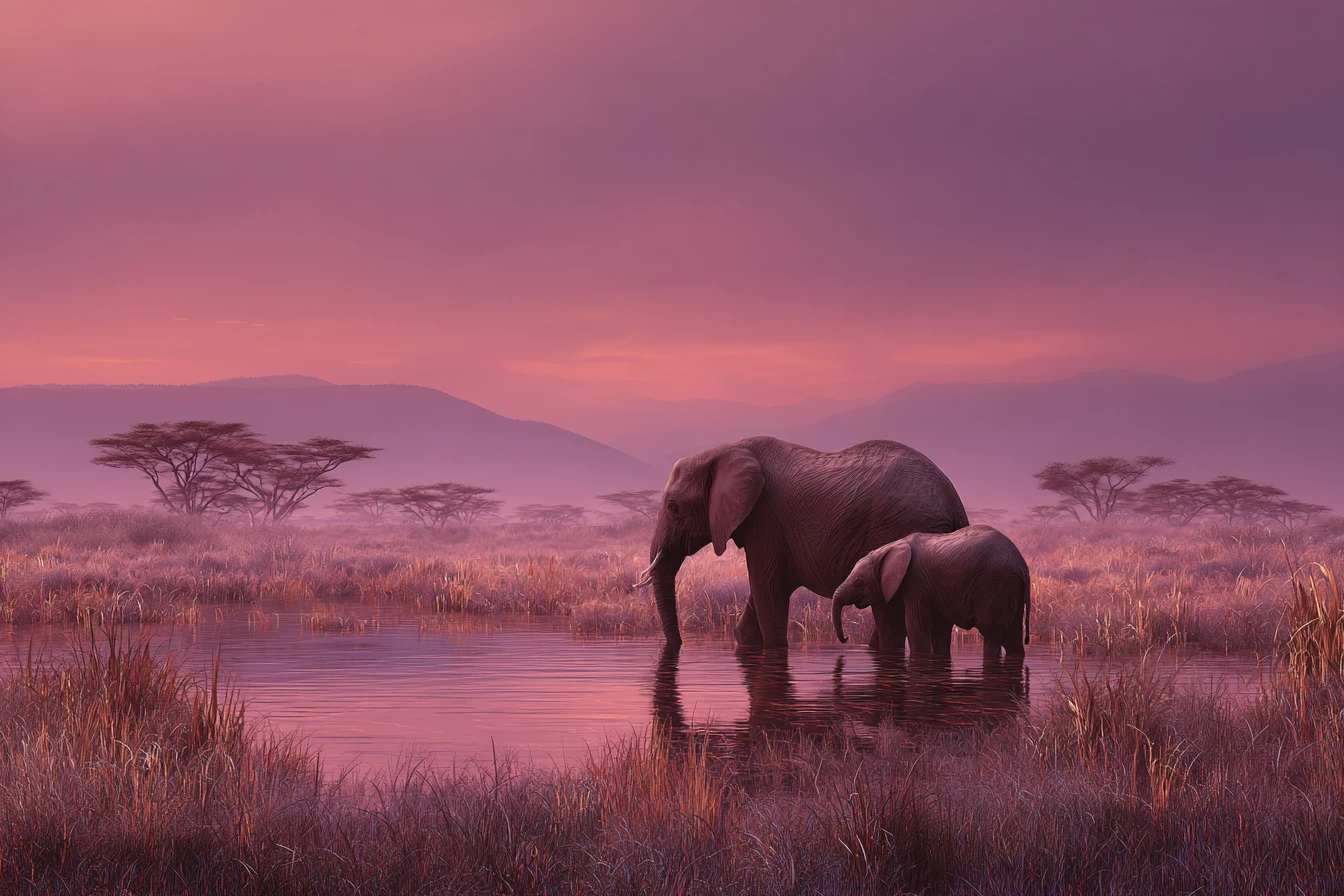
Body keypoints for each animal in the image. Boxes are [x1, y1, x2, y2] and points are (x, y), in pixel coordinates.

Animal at [635, 436, 968, 651]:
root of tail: (955, 503)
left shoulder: (766, 519)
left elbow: (768, 592)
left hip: (900, 525)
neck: (724, 450)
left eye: (673, 508)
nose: (677, 647)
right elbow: (758, 602)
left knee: (888, 617)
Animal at [831, 525, 1030, 661]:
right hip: (1009, 587)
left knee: (991, 632)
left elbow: (915, 625)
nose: (846, 639)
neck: (888, 548)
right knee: (1013, 636)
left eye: (858, 583)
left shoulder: (915, 583)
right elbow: (939, 629)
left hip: (995, 585)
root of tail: (1022, 565)